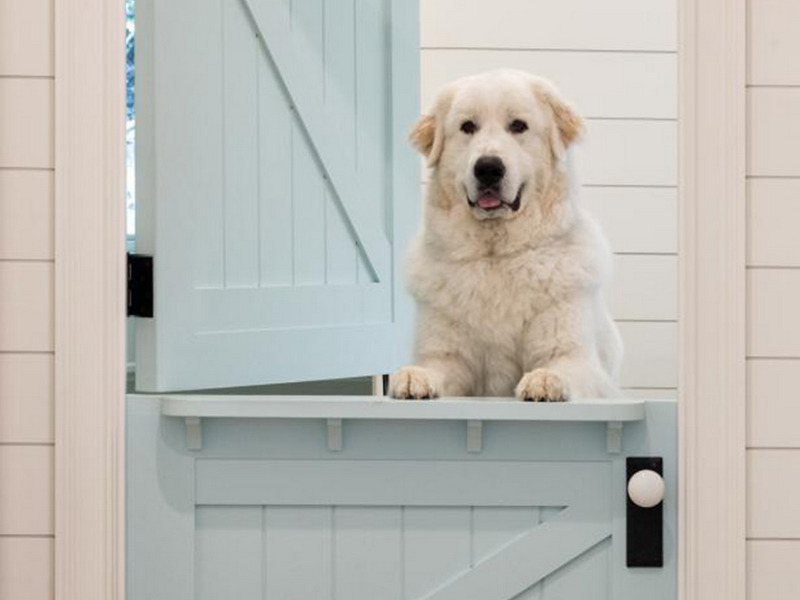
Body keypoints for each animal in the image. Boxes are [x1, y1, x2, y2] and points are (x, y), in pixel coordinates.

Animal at [390, 68, 620, 400]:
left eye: (518, 126)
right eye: (468, 127)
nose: (488, 168)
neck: (496, 257)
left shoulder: (574, 357)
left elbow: (561, 369)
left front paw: (544, 380)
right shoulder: (449, 358)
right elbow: (436, 367)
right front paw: (413, 377)